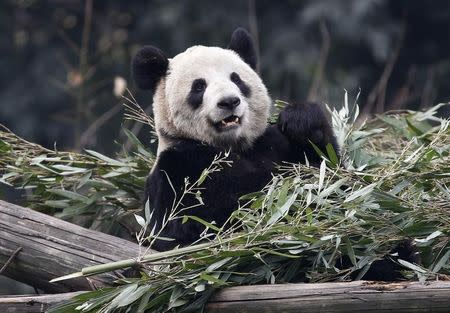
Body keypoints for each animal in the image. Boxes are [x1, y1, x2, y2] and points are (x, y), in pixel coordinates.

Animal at [130, 27, 338, 251]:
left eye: (236, 79)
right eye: (199, 86)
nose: (229, 101)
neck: (232, 145)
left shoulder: (270, 144)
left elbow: (330, 172)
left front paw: (300, 120)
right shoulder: (177, 168)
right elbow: (198, 221)